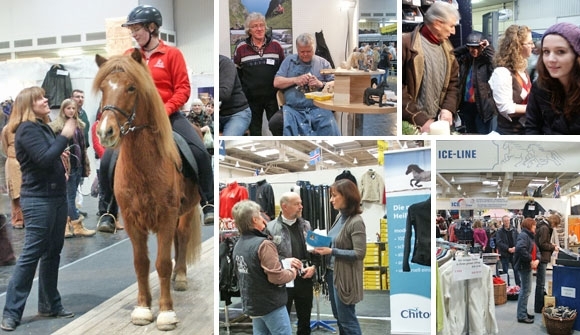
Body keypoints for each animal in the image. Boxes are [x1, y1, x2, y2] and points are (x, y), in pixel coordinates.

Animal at [94, 50, 203, 334]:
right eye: (103, 88)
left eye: (131, 87)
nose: (105, 132)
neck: (144, 167)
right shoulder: (133, 221)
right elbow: (141, 264)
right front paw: (143, 308)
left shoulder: (166, 216)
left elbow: (162, 264)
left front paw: (166, 312)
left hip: (186, 212)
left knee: (182, 237)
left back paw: (181, 276)